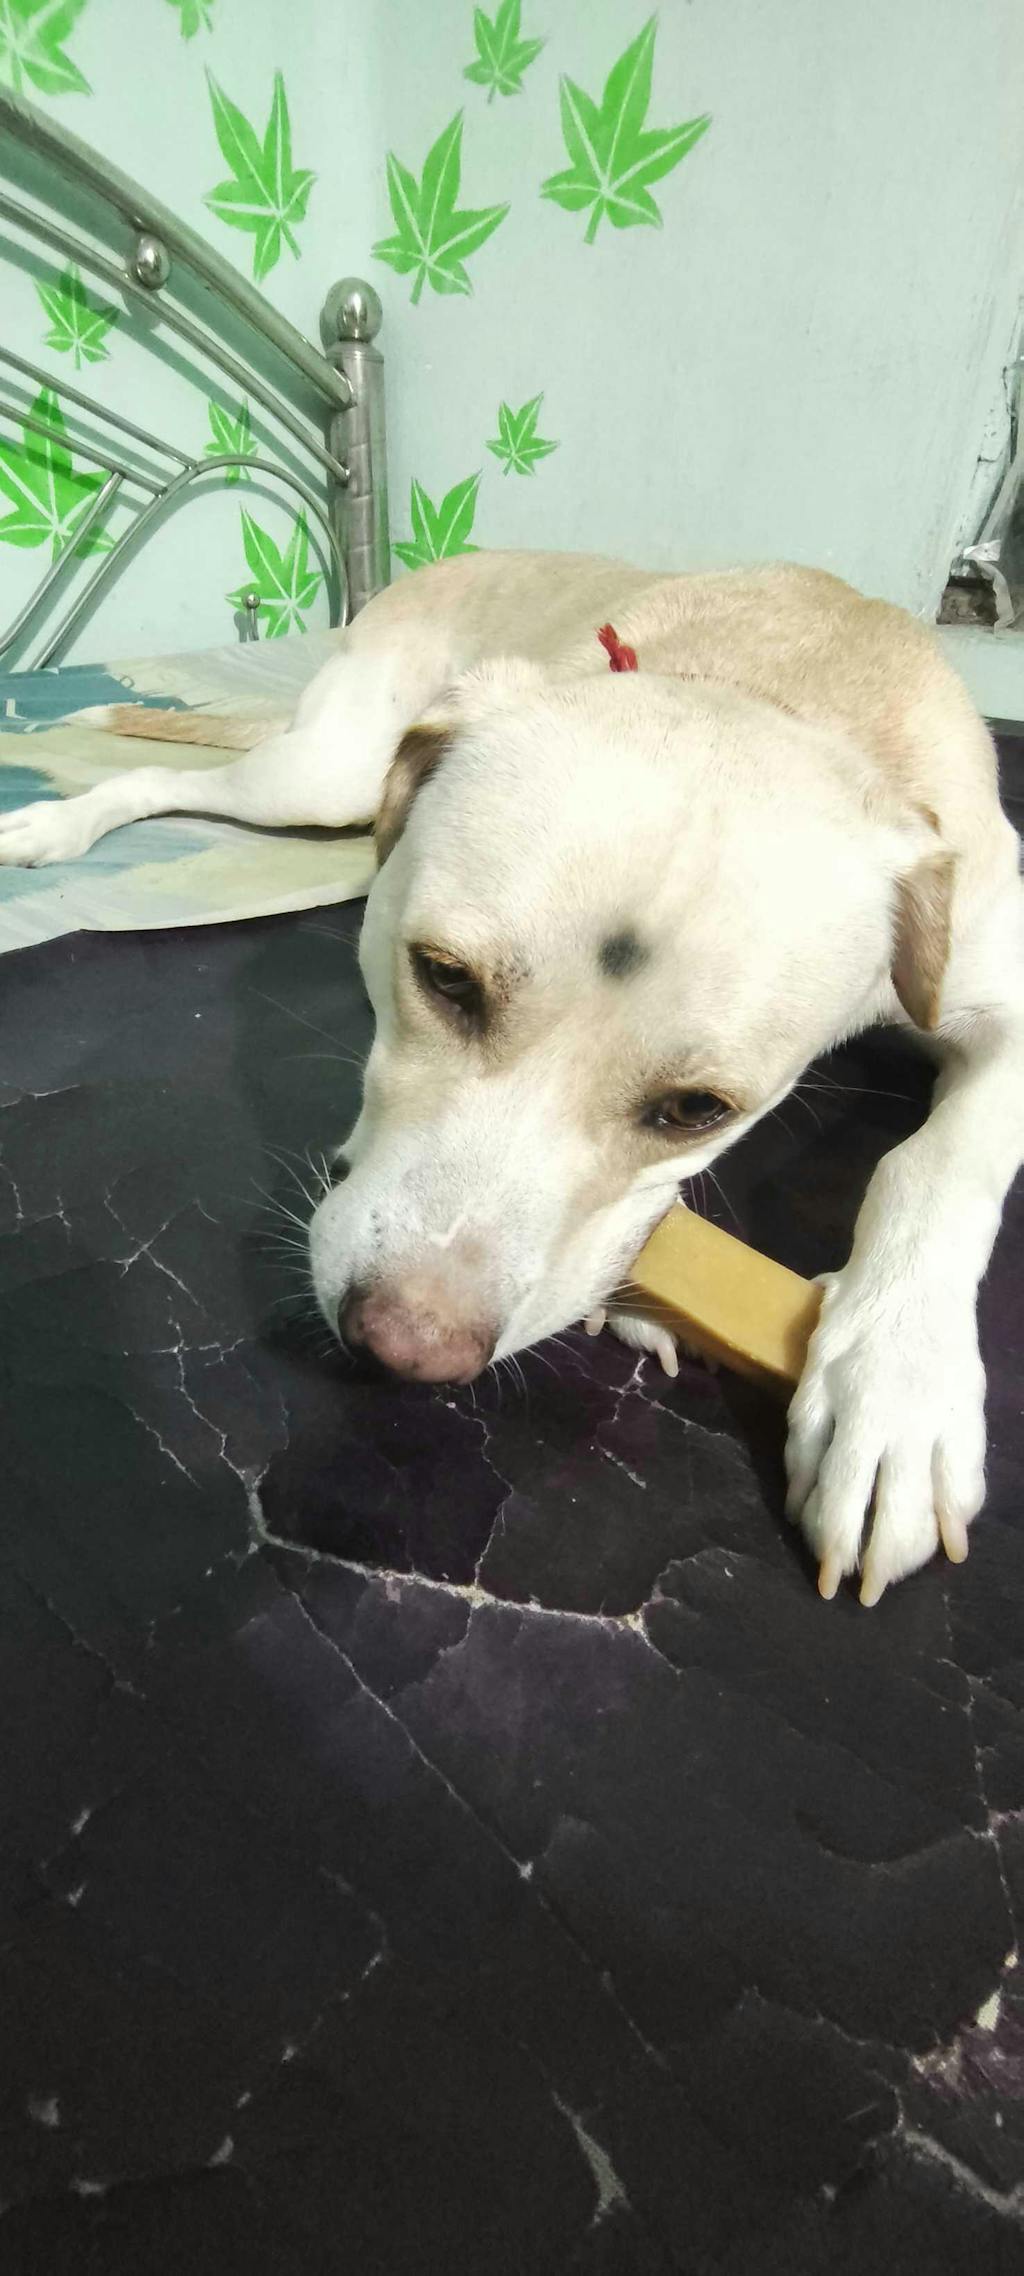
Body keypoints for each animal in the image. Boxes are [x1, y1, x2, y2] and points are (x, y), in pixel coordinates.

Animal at [3, 550, 1022, 1604]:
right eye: (444, 977)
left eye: (698, 1108)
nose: (406, 1348)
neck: (775, 686)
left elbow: (938, 1162)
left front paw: (899, 1386)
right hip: (324, 773)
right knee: (168, 776)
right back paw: (51, 828)